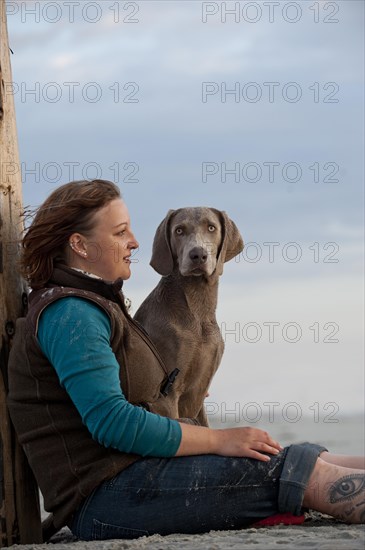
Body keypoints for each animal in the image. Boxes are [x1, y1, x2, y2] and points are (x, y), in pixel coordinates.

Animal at [132, 207, 243, 426]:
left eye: (211, 227)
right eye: (179, 231)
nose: (198, 254)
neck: (198, 312)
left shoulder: (201, 391)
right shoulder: (166, 395)